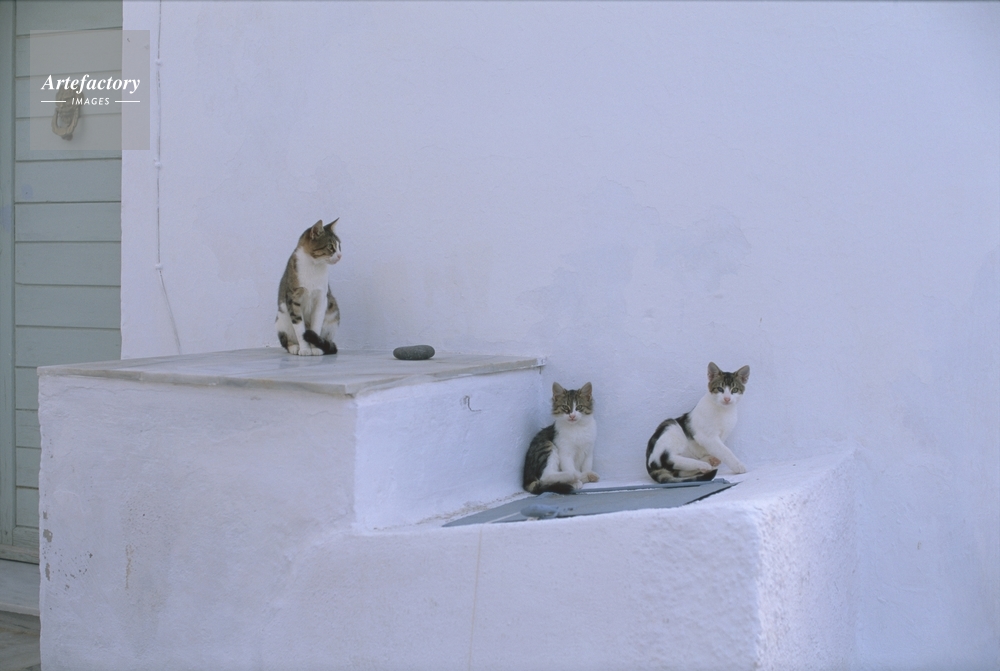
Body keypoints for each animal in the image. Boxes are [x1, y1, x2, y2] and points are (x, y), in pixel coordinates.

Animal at [276, 219, 342, 356]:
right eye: (331, 246)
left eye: (339, 246)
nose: (340, 255)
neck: (314, 267)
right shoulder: (293, 298)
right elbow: (300, 329)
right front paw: (305, 349)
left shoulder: (321, 298)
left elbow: (315, 326)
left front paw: (315, 348)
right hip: (281, 319)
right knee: (286, 341)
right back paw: (294, 347)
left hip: (333, 315)